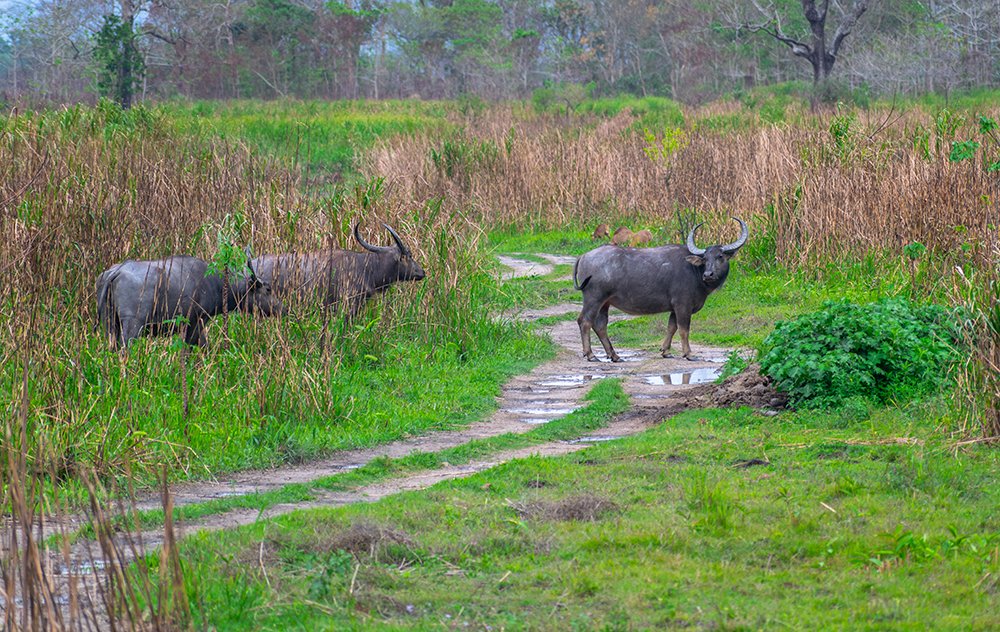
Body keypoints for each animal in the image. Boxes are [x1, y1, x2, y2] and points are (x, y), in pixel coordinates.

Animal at [96, 255, 281, 348]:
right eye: (268, 289)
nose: (282, 308)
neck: (215, 283)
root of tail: (115, 272)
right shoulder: (195, 324)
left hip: (110, 322)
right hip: (132, 324)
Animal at [573, 218, 748, 362]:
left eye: (720, 256)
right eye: (705, 259)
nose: (708, 274)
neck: (695, 271)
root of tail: (584, 256)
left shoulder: (674, 308)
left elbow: (671, 327)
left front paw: (666, 351)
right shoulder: (682, 305)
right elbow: (684, 329)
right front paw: (689, 354)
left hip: (605, 302)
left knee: (600, 325)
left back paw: (614, 355)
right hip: (594, 298)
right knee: (585, 321)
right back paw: (591, 355)